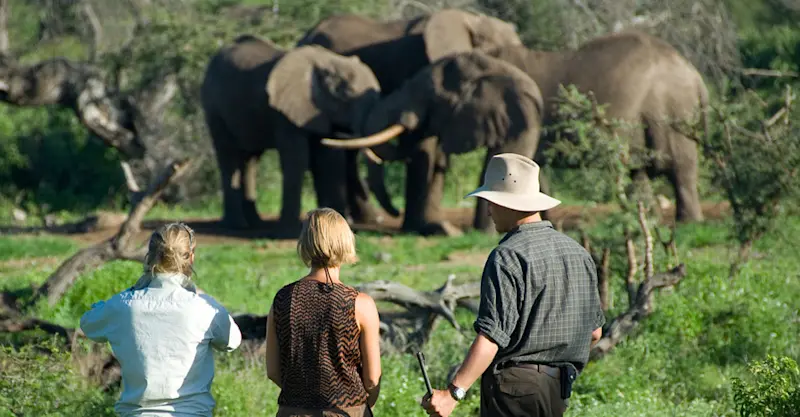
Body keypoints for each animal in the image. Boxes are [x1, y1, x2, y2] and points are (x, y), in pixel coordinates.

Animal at [200, 35, 398, 233]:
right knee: (228, 157)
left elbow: (330, 160)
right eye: (347, 93)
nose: (396, 213)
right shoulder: (285, 113)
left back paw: (255, 223)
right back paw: (237, 225)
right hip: (213, 108)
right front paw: (289, 229)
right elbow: (297, 158)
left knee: (250, 159)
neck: (327, 62)